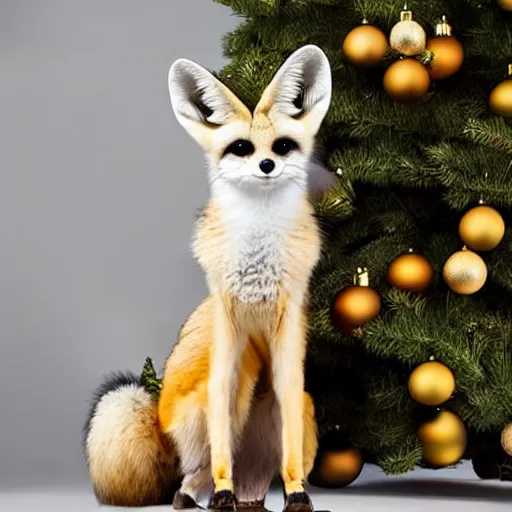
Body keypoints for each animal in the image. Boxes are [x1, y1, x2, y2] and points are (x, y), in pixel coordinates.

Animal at [84, 45, 332, 512]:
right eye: (241, 148)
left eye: (283, 146)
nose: (267, 164)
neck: (256, 277)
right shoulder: (227, 353)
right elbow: (220, 452)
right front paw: (221, 492)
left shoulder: (290, 352)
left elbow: (290, 456)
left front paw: (296, 495)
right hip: (234, 388)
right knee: (190, 475)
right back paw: (196, 495)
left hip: (297, 411)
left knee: (257, 478)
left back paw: (253, 499)